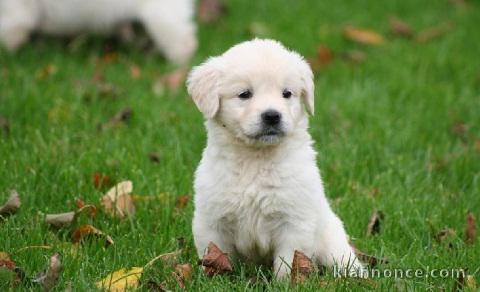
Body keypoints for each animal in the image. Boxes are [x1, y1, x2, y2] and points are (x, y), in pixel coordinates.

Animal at [188, 39, 364, 278]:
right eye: (245, 94)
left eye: (287, 93)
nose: (272, 116)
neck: (256, 158)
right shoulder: (212, 222)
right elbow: (216, 255)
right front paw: (214, 279)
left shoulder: (294, 222)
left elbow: (288, 263)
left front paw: (286, 282)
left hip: (332, 241)